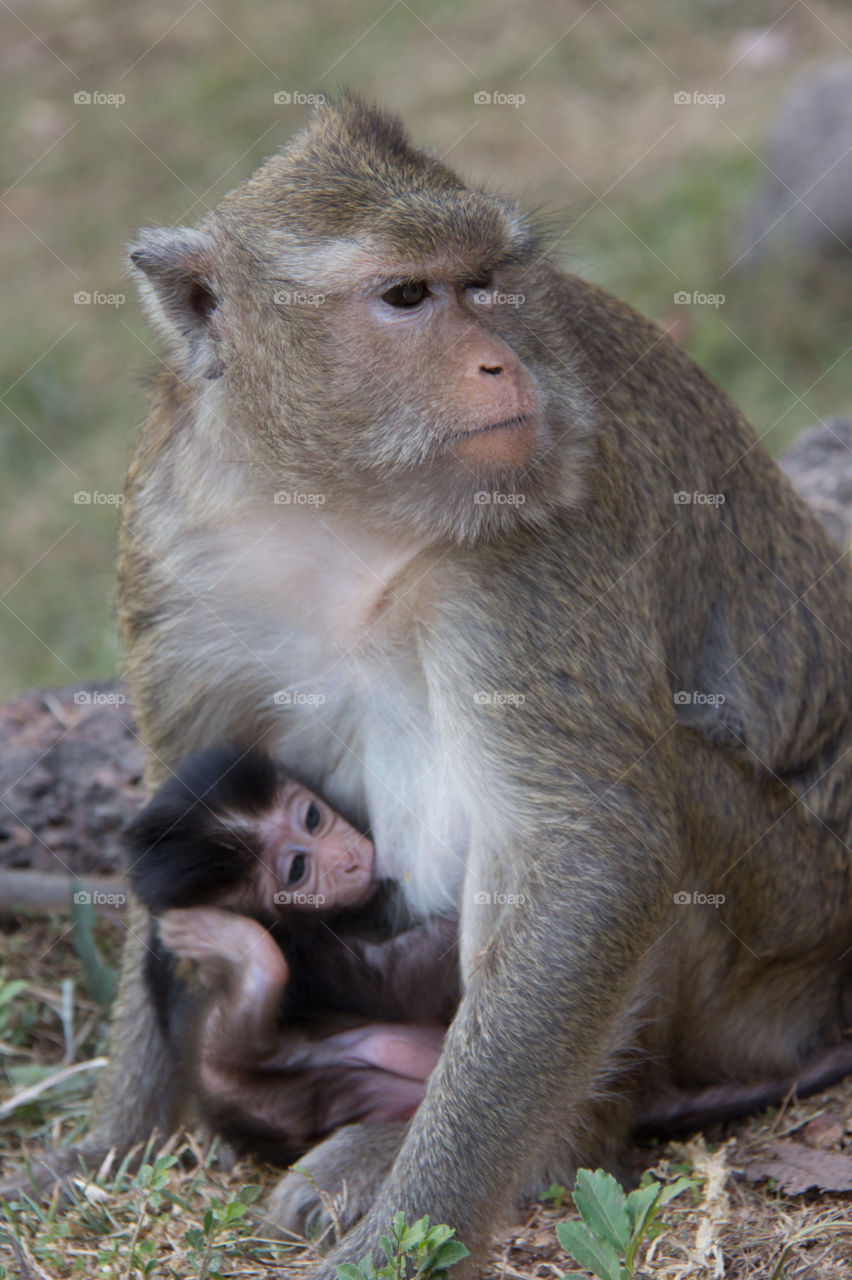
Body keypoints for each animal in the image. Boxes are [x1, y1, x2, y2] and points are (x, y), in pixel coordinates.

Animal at [124, 747, 457, 1167]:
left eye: (312, 818)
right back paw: (232, 947)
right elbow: (396, 982)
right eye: (298, 869)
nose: (349, 857)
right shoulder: (304, 956)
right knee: (221, 1072)